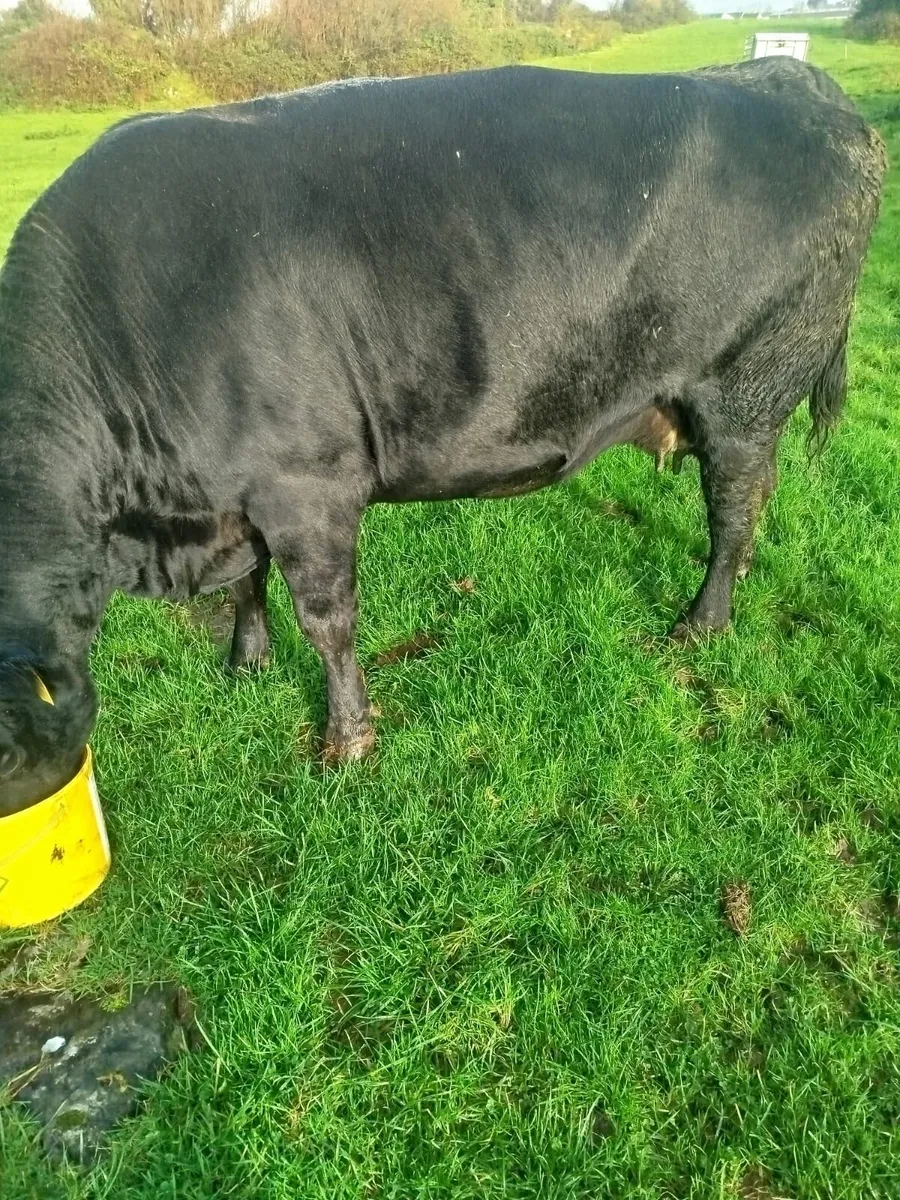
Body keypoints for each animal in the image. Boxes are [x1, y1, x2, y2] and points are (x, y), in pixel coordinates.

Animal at [0, 60, 885, 815]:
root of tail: (796, 80)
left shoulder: (308, 484)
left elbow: (328, 620)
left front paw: (347, 743)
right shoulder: (235, 486)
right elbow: (247, 585)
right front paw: (246, 664)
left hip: (745, 390)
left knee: (734, 511)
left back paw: (700, 625)